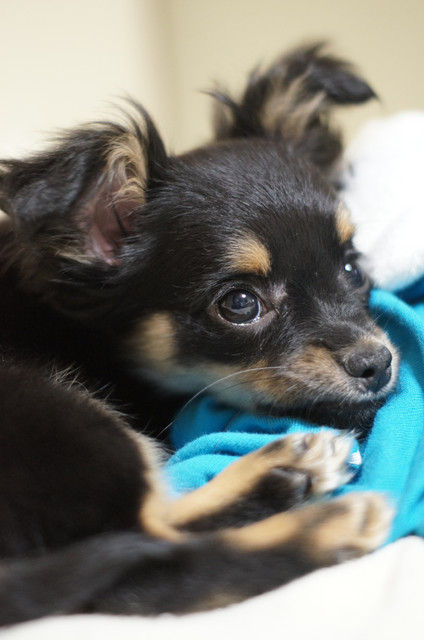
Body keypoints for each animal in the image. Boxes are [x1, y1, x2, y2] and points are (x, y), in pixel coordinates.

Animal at [0, 43, 396, 626]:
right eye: (240, 304)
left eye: (352, 268)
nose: (379, 363)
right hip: (58, 412)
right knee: (148, 567)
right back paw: (324, 520)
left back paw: (284, 471)